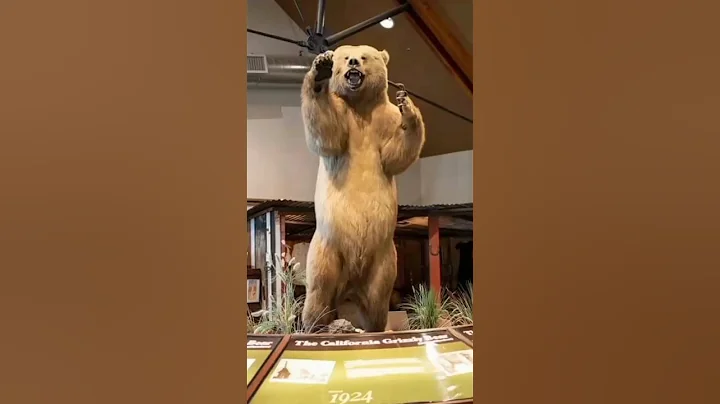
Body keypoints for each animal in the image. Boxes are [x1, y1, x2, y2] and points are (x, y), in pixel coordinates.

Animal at [300, 45, 426, 332]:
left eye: (366, 56)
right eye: (345, 57)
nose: (354, 62)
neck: (359, 106)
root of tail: (349, 289)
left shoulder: (385, 120)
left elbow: (395, 155)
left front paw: (408, 107)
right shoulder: (342, 116)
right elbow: (328, 136)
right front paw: (320, 71)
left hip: (384, 258)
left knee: (378, 297)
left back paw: (372, 326)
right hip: (327, 249)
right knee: (319, 289)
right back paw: (317, 325)